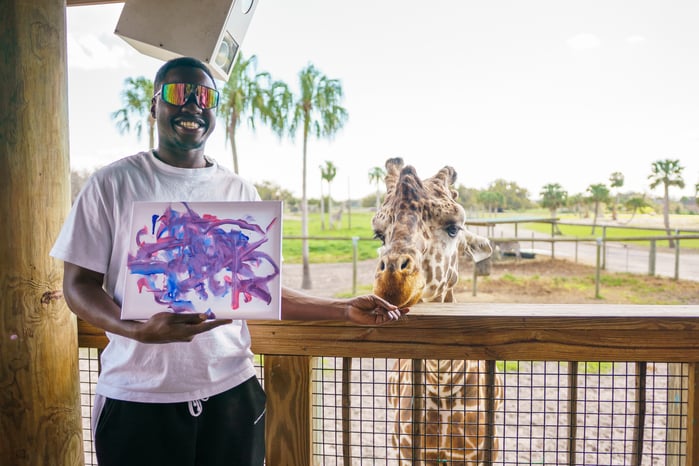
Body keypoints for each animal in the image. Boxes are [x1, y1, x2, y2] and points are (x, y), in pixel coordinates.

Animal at [372, 158, 504, 464]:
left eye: (453, 228)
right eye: (379, 235)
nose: (392, 282)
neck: (444, 388)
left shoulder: (483, 453)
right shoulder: (407, 452)